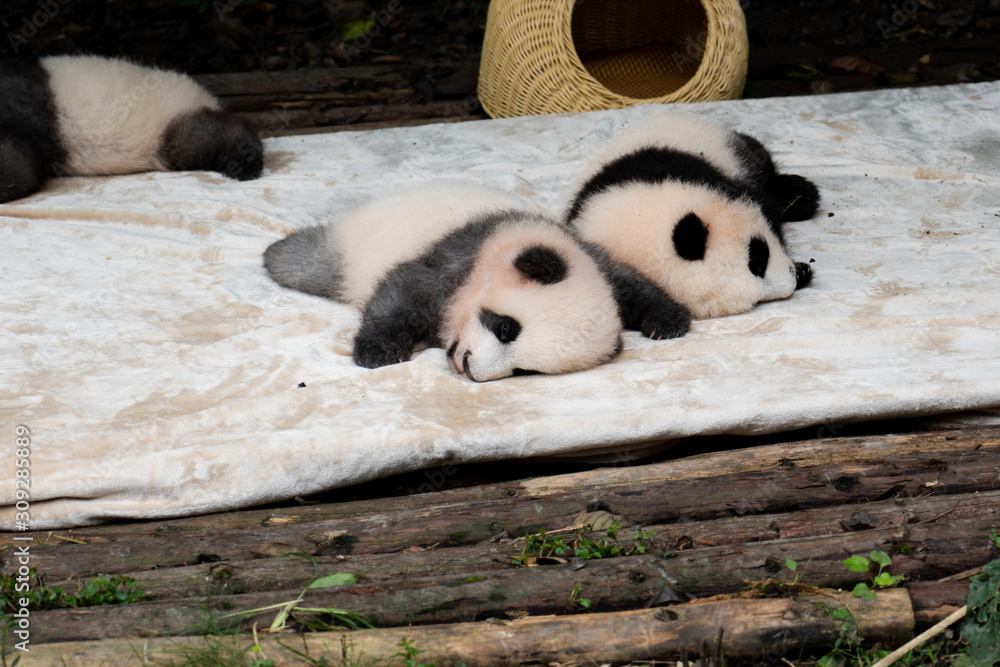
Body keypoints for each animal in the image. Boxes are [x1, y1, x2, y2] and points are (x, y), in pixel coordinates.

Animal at [263, 183, 691, 381]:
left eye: (524, 371)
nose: (469, 367)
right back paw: (278, 252)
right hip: (354, 249)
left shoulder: (587, 255)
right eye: (505, 327)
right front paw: (379, 351)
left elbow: (625, 281)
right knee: (307, 261)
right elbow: (404, 291)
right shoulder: (463, 251)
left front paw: (668, 320)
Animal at [565, 113, 820, 319]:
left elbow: (763, 205)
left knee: (760, 162)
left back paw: (803, 195)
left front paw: (801, 268)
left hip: (726, 145)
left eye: (757, 258)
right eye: (756, 298)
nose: (791, 277)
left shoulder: (676, 169)